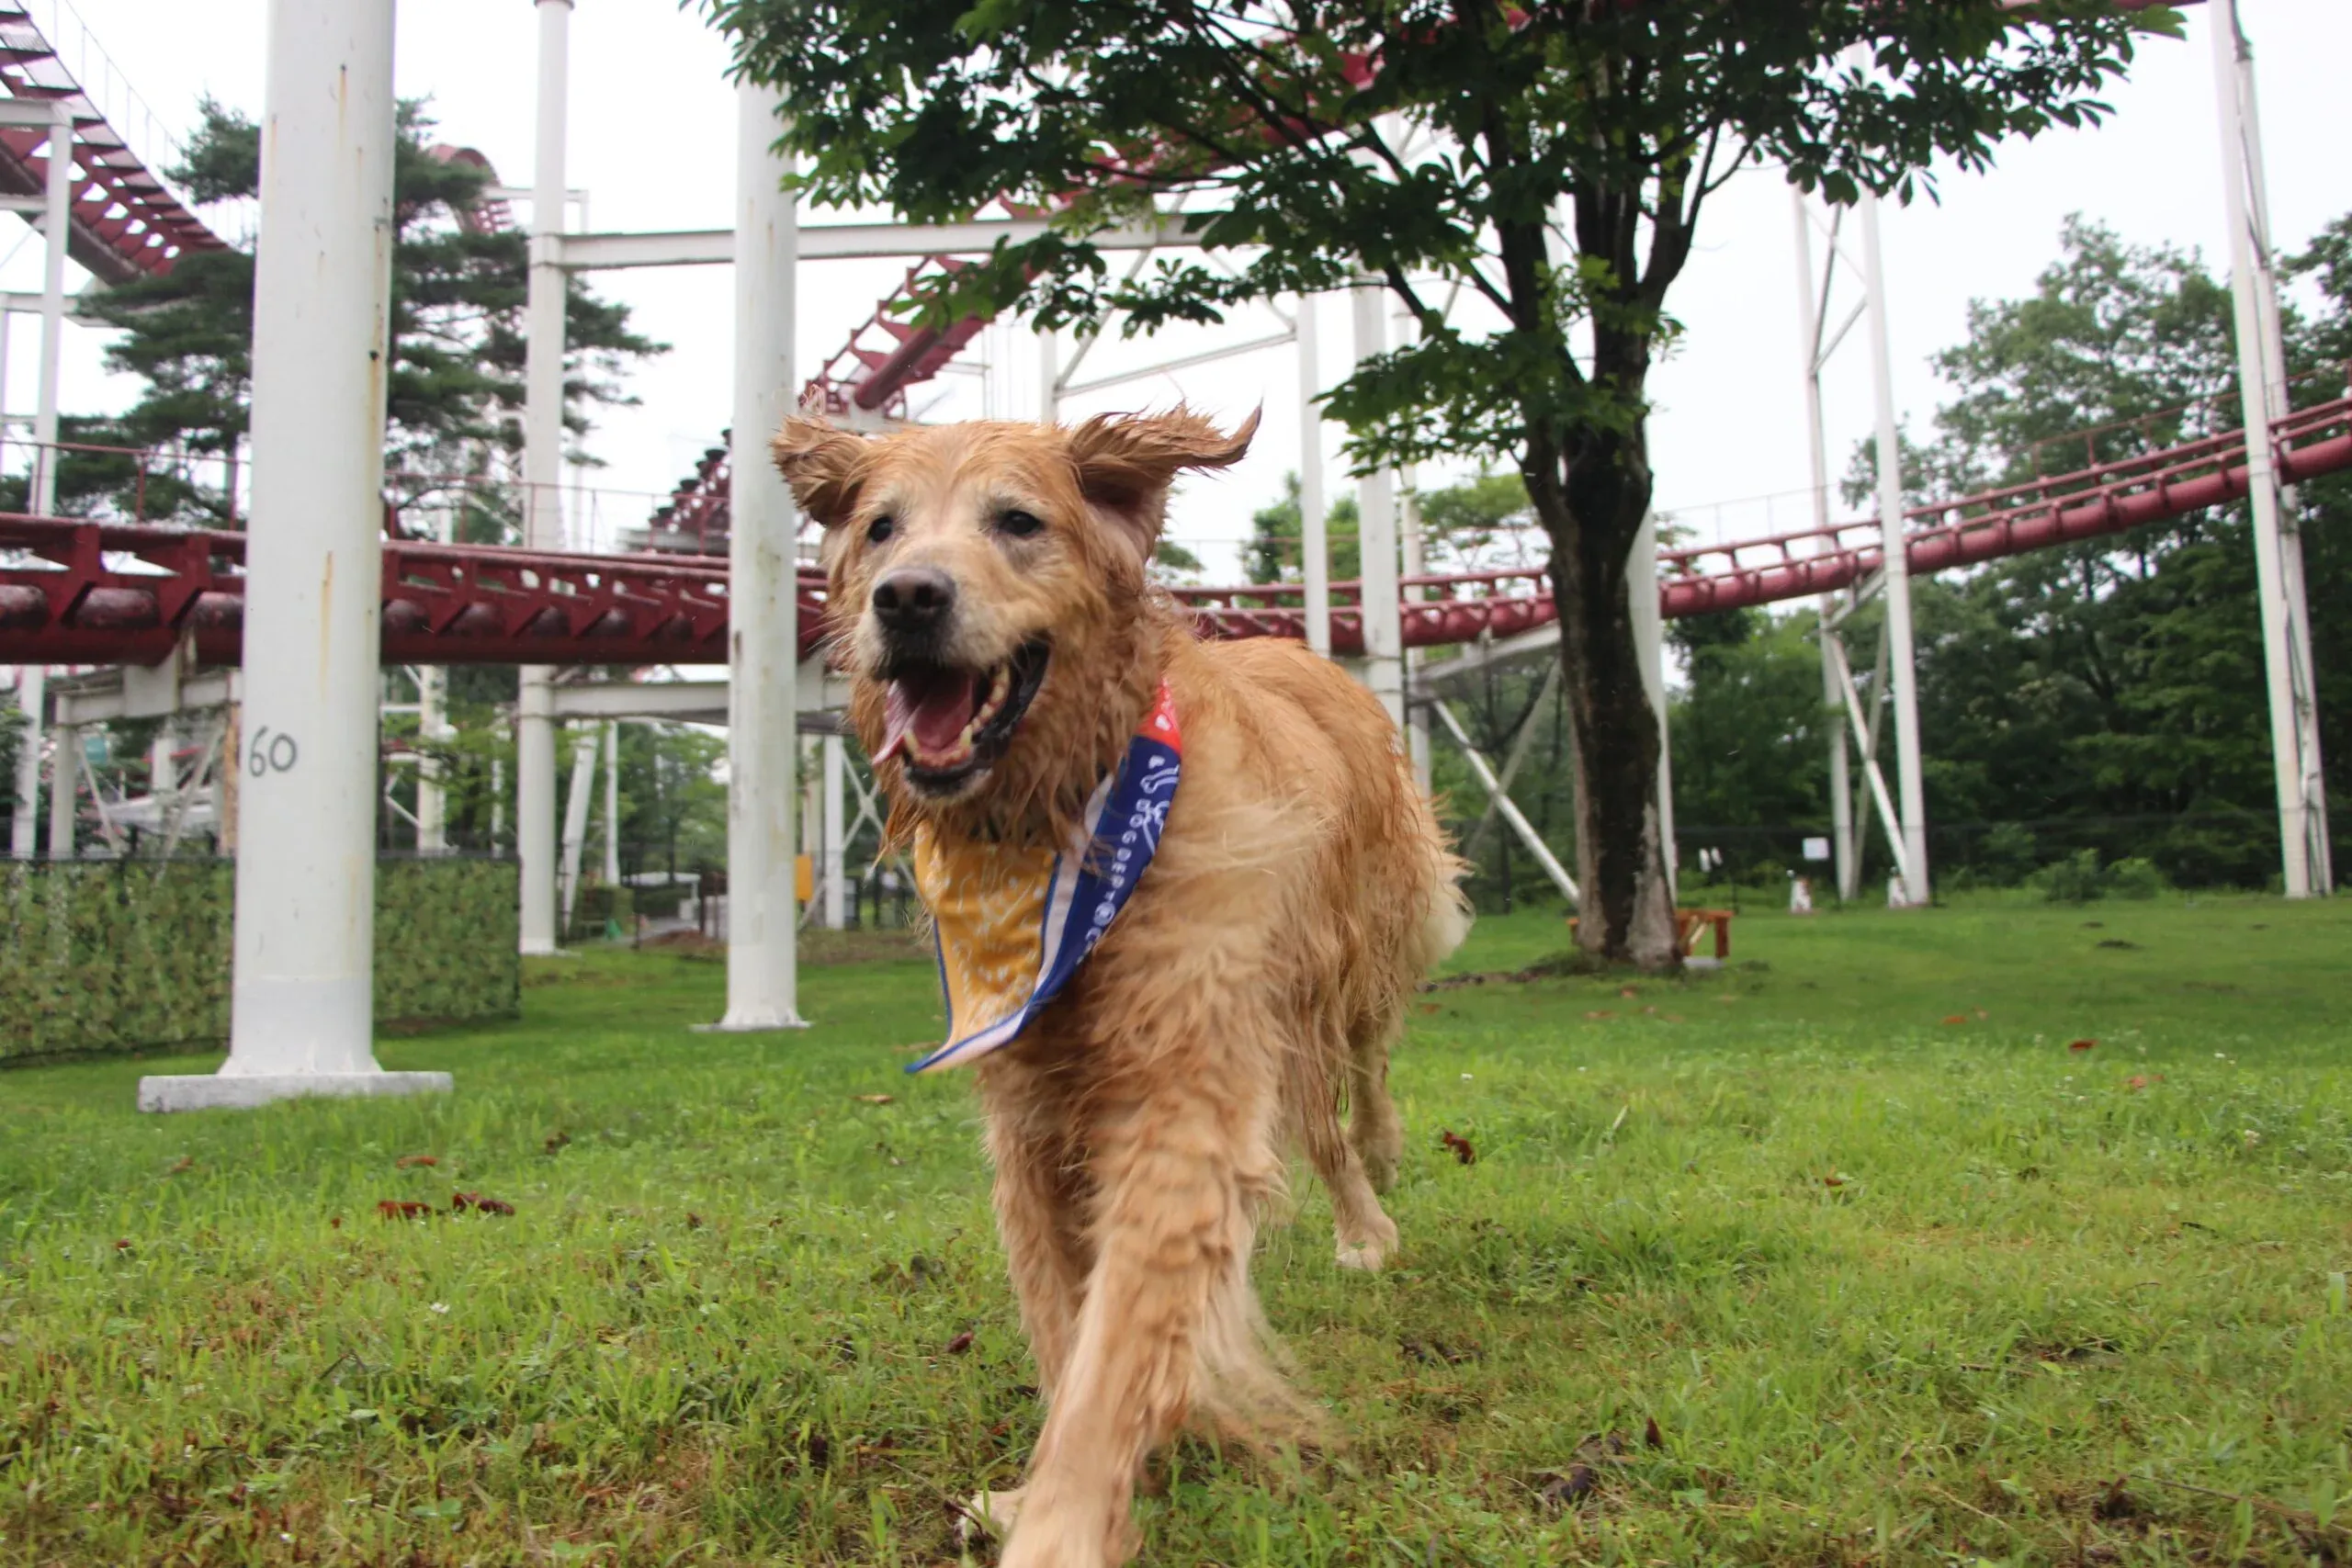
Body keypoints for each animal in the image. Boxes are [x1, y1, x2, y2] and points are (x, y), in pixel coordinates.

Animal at [775, 409, 1467, 1568]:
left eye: (1017, 521)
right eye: (879, 529)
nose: (907, 598)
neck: (1056, 820)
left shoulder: (1179, 1083)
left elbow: (1117, 1339)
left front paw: (1062, 1523)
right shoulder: (1028, 1107)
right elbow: (1065, 1322)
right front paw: (1046, 1488)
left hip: (1360, 938)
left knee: (1364, 1065)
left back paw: (1375, 1184)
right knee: (1316, 1117)